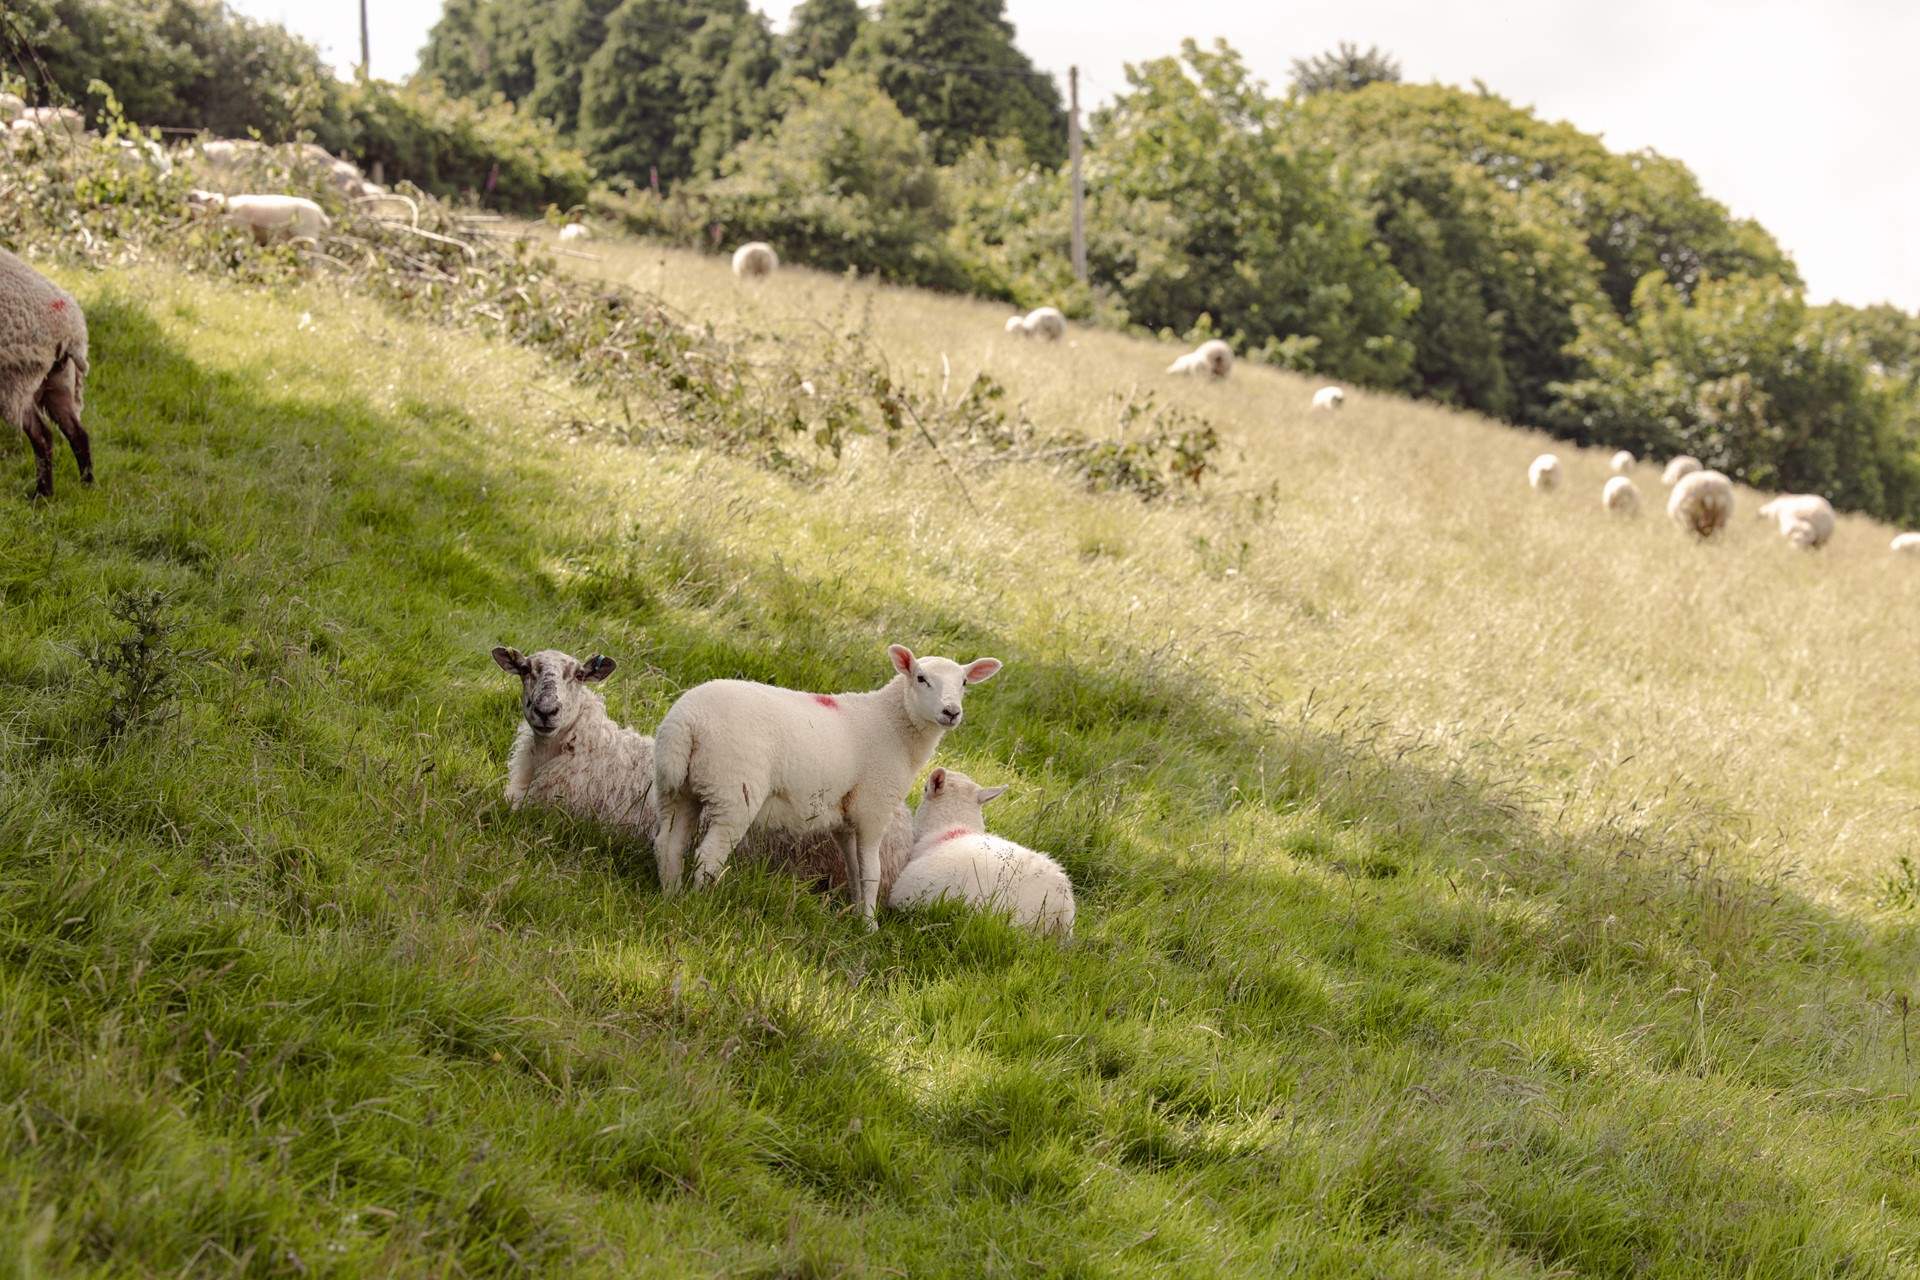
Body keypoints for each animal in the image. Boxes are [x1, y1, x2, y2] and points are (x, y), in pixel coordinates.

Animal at [0, 247, 93, 499]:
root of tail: (71, 332)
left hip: (16, 381)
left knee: (42, 435)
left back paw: (42, 494)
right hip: (59, 383)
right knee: (77, 433)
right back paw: (87, 486)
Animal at [652, 643, 1003, 927]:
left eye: (964, 683)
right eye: (920, 678)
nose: (951, 712)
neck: (893, 726)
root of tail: (687, 721)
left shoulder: (846, 820)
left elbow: (854, 871)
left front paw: (856, 914)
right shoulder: (874, 809)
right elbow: (872, 872)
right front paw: (870, 927)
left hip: (677, 788)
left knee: (667, 844)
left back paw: (671, 897)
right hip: (733, 791)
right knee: (708, 856)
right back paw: (699, 905)